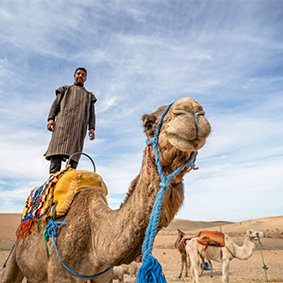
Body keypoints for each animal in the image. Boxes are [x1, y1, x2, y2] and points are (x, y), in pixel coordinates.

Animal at [1, 97, 211, 283]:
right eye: (148, 124)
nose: (191, 109)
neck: (95, 240)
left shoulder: (104, 274)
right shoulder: (60, 275)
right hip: (14, 256)